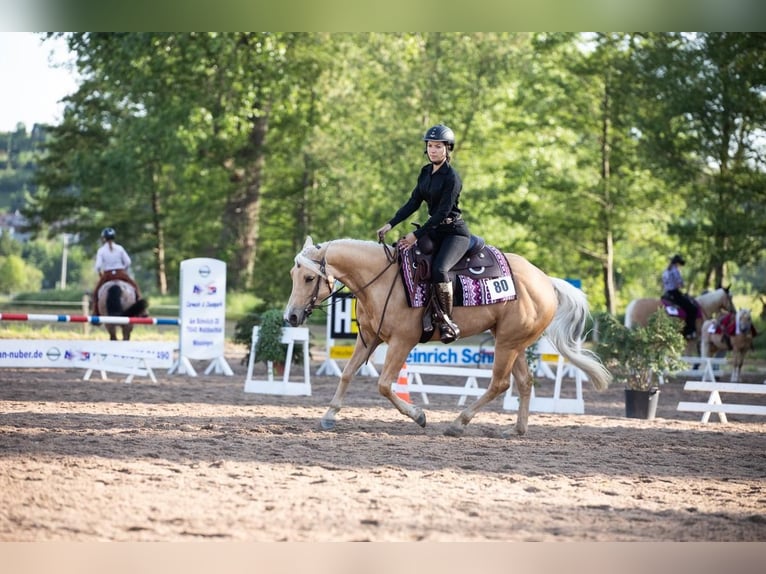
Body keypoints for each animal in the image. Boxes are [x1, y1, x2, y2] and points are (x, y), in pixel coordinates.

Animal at [282, 236, 612, 438]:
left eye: (309, 278)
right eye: (292, 275)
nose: (292, 317)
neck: (382, 279)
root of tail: (545, 280)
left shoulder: (402, 342)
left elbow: (385, 385)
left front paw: (418, 415)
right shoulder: (369, 338)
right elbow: (348, 374)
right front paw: (330, 415)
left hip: (507, 344)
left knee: (500, 384)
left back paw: (458, 423)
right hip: (514, 343)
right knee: (524, 383)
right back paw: (515, 430)